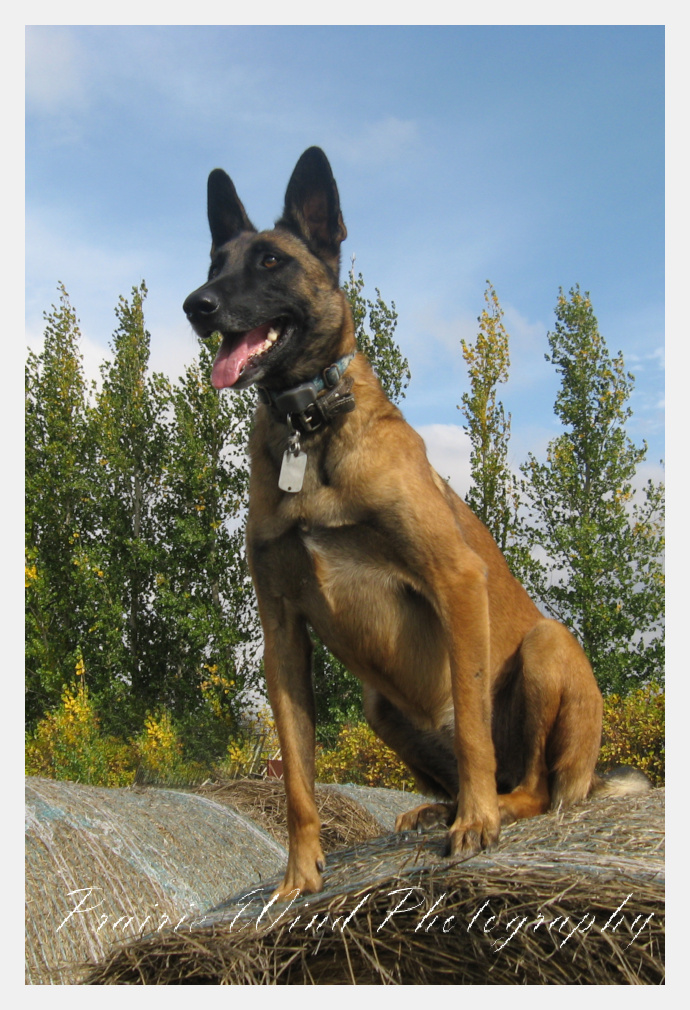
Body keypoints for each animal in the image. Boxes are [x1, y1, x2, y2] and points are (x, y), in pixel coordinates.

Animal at [183, 147, 648, 900]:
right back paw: (438, 809)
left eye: (270, 262)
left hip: (545, 648)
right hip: (381, 706)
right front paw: (299, 876)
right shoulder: (282, 632)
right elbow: (298, 779)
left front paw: (476, 826)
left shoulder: (453, 576)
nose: (197, 306)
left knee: (533, 784)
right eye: (214, 261)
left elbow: (474, 733)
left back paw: (489, 809)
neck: (310, 433)